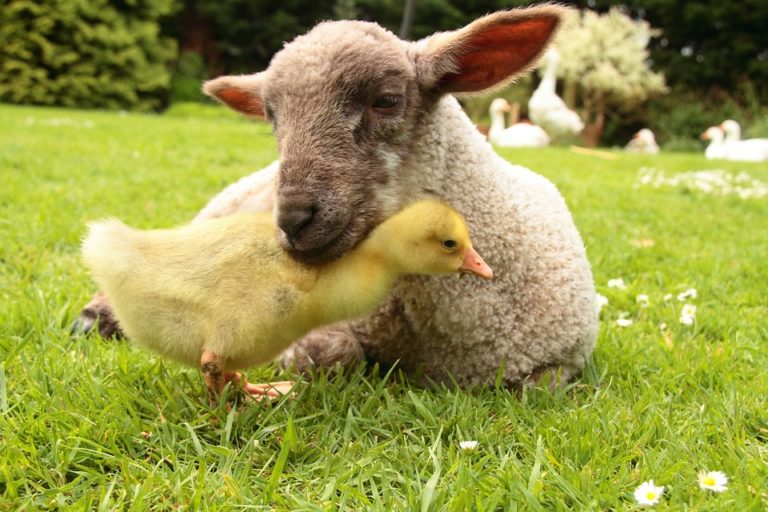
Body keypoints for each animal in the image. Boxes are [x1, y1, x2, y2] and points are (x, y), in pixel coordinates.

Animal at [75, 4, 598, 388]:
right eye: (272, 117)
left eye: (386, 100)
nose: (292, 219)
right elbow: (330, 352)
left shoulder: (560, 364)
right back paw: (96, 316)